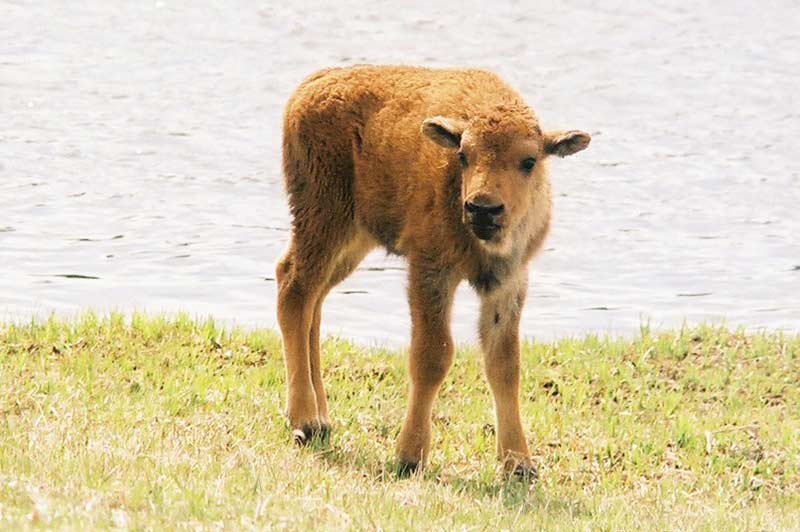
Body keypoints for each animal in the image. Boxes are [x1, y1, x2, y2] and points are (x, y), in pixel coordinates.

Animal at [278, 64, 592, 476]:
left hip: (352, 239)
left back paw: (322, 418)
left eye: (529, 160)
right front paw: (410, 456)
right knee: (294, 293)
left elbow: (505, 364)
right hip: (323, 220)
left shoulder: (508, 282)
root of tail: (309, 86)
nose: (482, 208)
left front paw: (518, 463)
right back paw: (305, 421)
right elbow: (433, 355)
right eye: (463, 154)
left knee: (313, 303)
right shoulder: (431, 272)